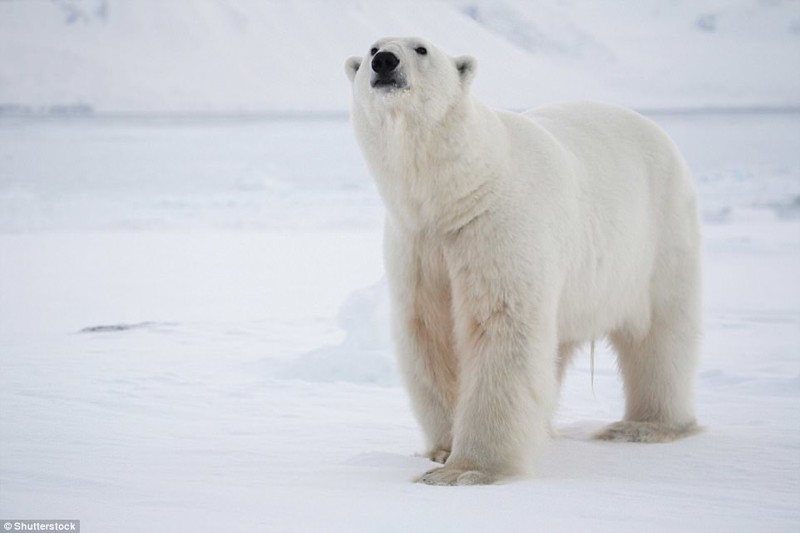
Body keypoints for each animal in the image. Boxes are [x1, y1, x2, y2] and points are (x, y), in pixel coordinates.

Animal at [344, 37, 700, 484]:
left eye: (421, 48)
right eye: (371, 48)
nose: (385, 62)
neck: (459, 192)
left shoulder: (498, 227)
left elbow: (501, 327)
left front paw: (467, 470)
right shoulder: (419, 244)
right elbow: (432, 334)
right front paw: (442, 449)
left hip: (658, 233)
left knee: (662, 332)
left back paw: (642, 426)